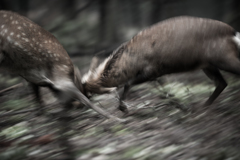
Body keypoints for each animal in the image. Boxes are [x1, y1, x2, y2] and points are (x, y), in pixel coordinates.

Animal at [81, 16, 240, 113]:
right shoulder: (157, 73)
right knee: (222, 83)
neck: (132, 63)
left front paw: (123, 108)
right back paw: (203, 106)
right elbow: (165, 90)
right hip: (207, 64)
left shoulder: (151, 70)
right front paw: (180, 105)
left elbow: (128, 83)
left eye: (89, 91)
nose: (82, 103)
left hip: (223, 58)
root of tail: (233, 32)